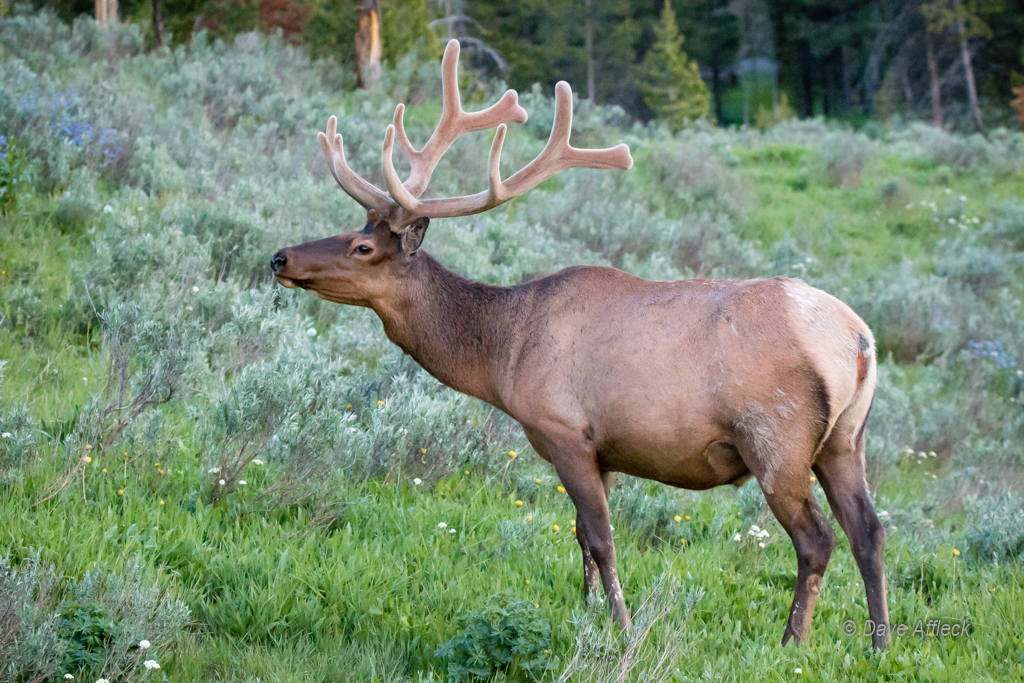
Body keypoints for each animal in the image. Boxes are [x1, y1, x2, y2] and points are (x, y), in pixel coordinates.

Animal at [270, 40, 888, 651]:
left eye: (363, 247)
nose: (280, 257)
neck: (502, 356)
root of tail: (859, 339)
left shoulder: (564, 431)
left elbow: (601, 538)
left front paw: (623, 629)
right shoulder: (604, 450)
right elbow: (579, 538)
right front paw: (586, 615)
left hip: (776, 438)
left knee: (817, 537)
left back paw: (792, 642)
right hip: (845, 440)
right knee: (870, 528)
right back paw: (879, 643)